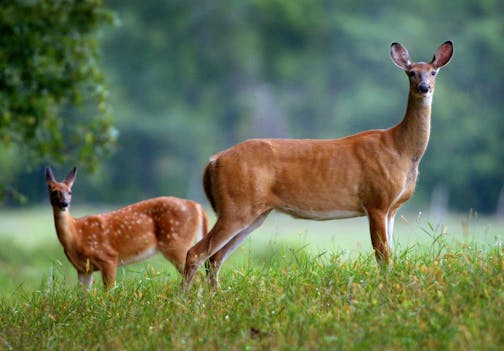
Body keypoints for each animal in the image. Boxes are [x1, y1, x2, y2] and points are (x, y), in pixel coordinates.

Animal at [44, 166, 207, 290]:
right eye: (53, 191)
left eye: (70, 191)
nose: (64, 203)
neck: (77, 236)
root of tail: (197, 206)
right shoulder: (83, 269)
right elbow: (83, 295)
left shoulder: (108, 257)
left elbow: (109, 290)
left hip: (177, 243)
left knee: (197, 277)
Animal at [184, 41, 452, 290]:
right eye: (411, 73)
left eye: (433, 72)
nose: (424, 87)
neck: (400, 149)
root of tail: (213, 161)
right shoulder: (376, 200)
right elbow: (382, 257)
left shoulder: (392, 208)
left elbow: (391, 256)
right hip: (236, 205)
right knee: (196, 253)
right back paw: (187, 301)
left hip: (254, 213)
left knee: (214, 258)